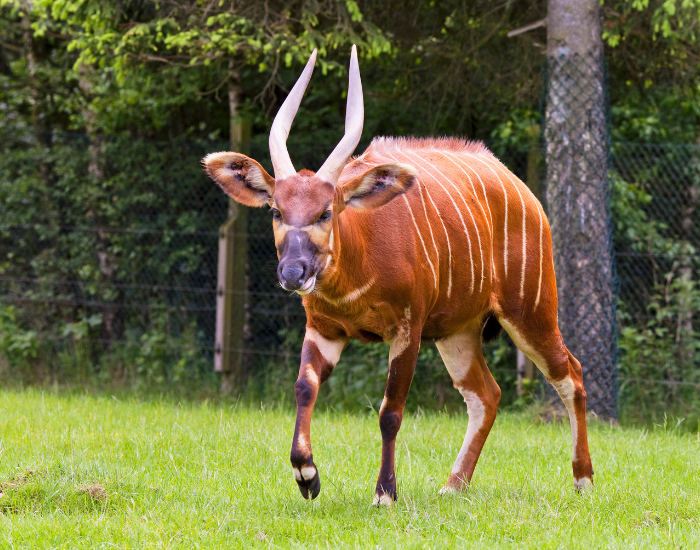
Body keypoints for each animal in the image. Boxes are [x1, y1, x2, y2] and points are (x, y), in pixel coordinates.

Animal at [203, 46, 593, 506]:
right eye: (277, 210)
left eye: (326, 212)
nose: (293, 272)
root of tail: (524, 192)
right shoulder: (324, 327)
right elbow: (304, 386)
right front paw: (307, 475)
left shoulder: (408, 329)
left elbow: (391, 410)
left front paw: (384, 493)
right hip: (457, 332)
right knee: (486, 394)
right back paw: (453, 485)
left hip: (530, 313)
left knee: (570, 375)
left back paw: (583, 480)